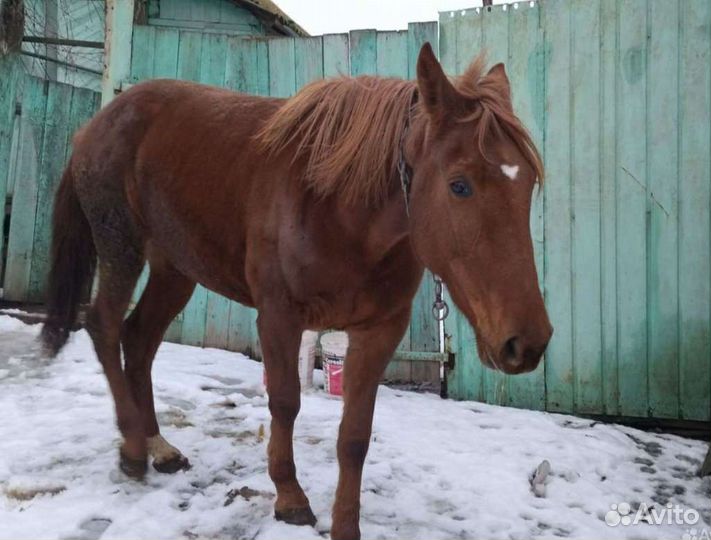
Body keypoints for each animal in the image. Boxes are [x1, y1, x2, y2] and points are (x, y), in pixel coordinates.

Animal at [40, 43, 552, 540]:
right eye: (459, 185)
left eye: (527, 184)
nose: (527, 343)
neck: (337, 206)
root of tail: (95, 125)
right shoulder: (279, 316)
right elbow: (285, 402)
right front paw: (289, 497)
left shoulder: (380, 329)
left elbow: (355, 434)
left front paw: (346, 526)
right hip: (120, 245)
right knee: (104, 326)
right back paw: (131, 449)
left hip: (175, 270)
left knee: (139, 340)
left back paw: (158, 446)